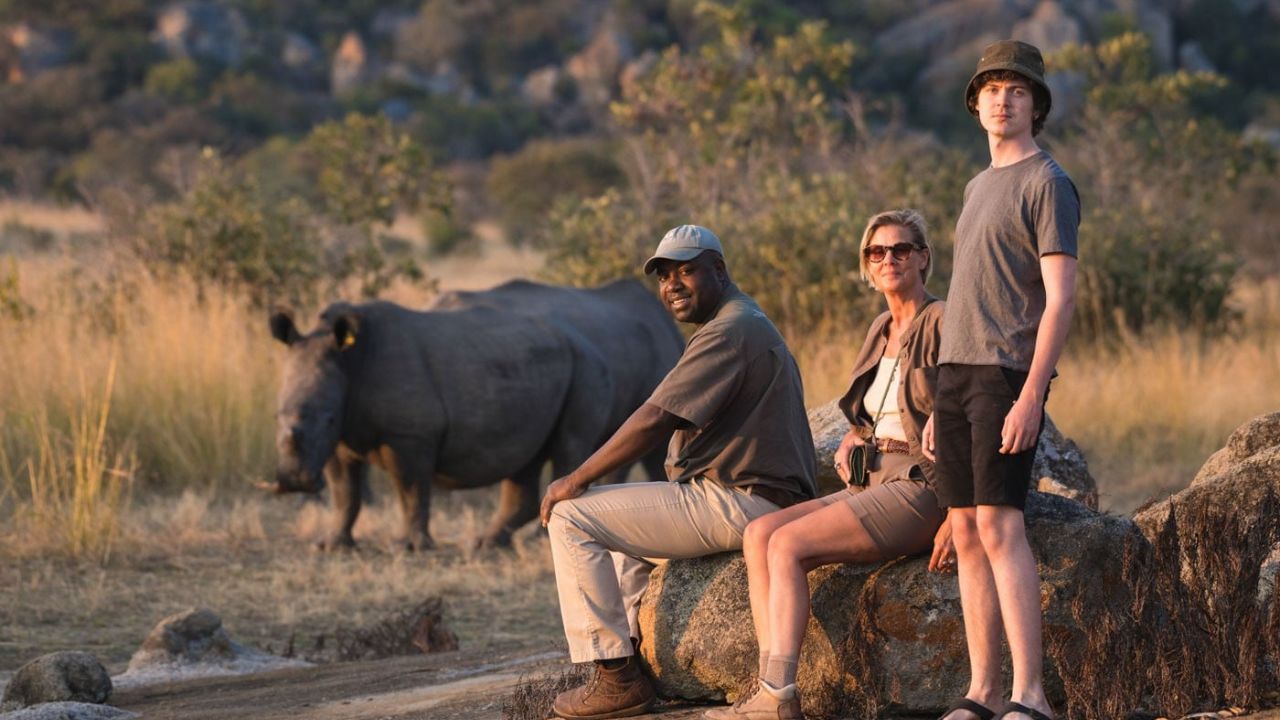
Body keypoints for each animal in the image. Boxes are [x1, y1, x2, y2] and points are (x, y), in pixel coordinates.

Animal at [268, 280, 684, 551]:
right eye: (276, 415)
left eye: (326, 418)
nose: (293, 483)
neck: (350, 359)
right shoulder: (342, 436)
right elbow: (345, 492)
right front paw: (332, 545)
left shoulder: (409, 436)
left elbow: (410, 489)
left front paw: (409, 547)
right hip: (549, 365)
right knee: (527, 459)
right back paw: (487, 544)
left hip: (590, 368)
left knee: (573, 446)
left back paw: (533, 540)